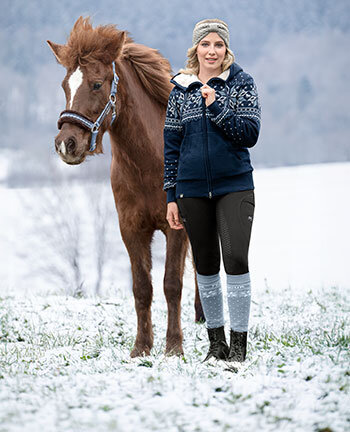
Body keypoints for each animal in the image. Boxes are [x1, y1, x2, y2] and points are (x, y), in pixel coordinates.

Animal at [47, 16, 204, 358]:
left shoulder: (176, 227)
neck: (149, 162)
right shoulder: (131, 229)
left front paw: (174, 347)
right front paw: (141, 347)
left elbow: (172, 284)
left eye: (96, 84)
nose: (67, 144)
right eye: (65, 86)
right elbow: (142, 287)